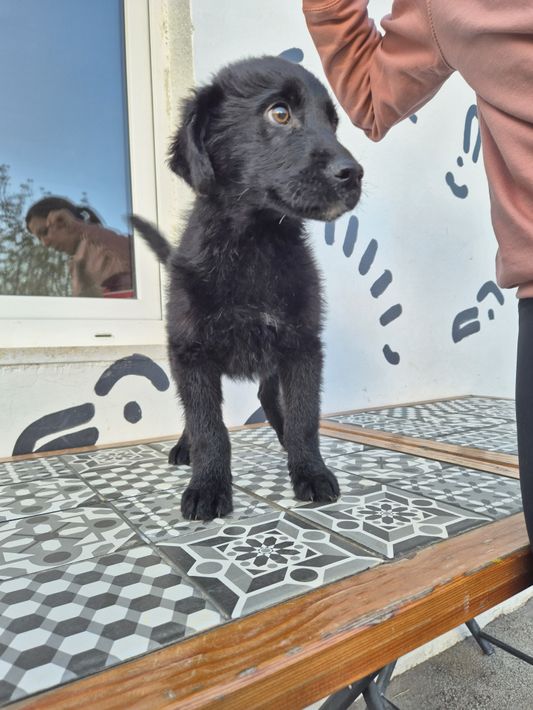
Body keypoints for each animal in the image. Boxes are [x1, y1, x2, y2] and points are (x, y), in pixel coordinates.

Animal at [132, 56, 363, 520]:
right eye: (280, 113)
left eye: (333, 124)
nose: (353, 174)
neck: (254, 243)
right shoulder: (191, 353)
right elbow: (208, 427)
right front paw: (207, 485)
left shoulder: (303, 347)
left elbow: (304, 418)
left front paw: (310, 472)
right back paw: (185, 448)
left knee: (272, 401)